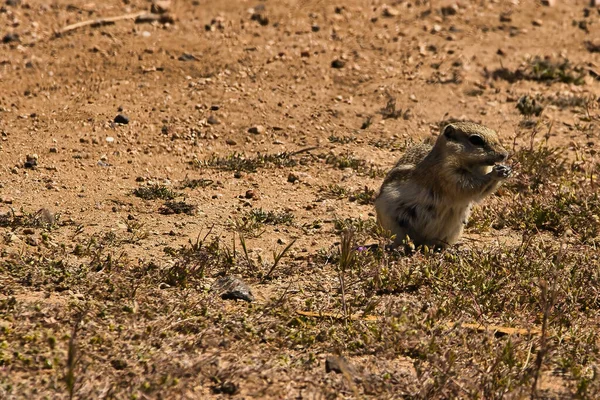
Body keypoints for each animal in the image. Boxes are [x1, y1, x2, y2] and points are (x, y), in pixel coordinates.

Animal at [376, 120, 510, 248]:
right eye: (476, 140)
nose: (505, 154)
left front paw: (506, 170)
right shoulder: (448, 175)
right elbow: (470, 187)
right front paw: (495, 173)